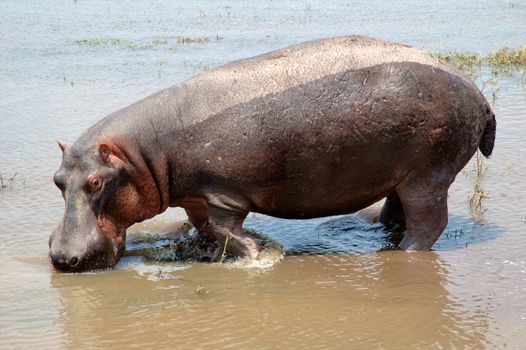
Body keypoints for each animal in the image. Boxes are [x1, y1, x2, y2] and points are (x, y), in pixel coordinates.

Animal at [47, 34, 498, 270]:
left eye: (96, 181)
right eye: (57, 180)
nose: (61, 257)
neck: (141, 153)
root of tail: (478, 93)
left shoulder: (223, 194)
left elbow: (225, 230)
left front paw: (256, 254)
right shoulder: (196, 197)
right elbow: (203, 227)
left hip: (429, 175)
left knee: (427, 224)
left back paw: (400, 256)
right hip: (401, 175)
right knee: (396, 212)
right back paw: (379, 239)